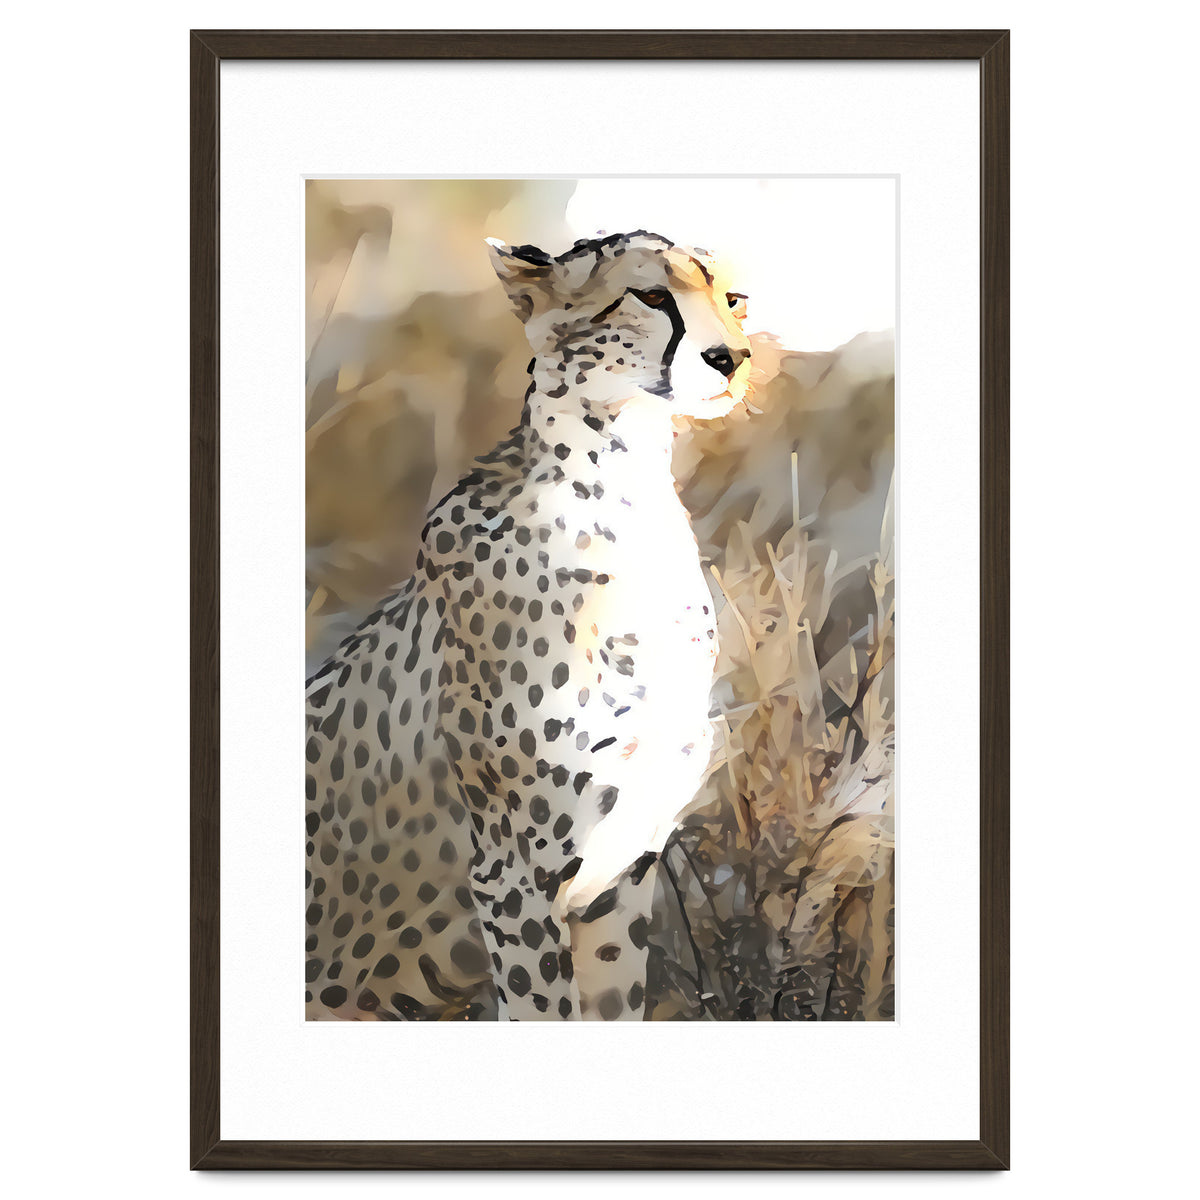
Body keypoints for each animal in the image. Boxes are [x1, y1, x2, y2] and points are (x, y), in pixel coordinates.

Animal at [304, 230, 752, 1020]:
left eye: (733, 299)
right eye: (651, 294)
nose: (733, 358)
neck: (624, 494)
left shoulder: (618, 880)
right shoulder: (513, 880)